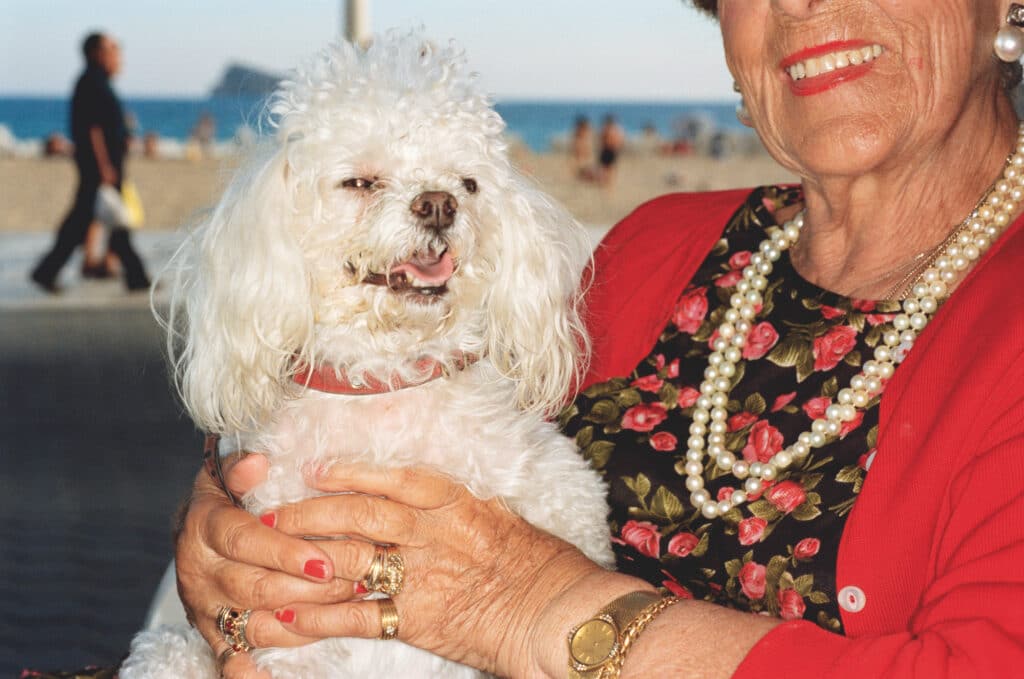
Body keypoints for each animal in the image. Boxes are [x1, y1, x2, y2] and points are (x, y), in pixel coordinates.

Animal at [121, 29, 614, 675]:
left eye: (468, 183)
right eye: (360, 183)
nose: (439, 204)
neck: (384, 383)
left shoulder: (559, 487)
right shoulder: (291, 621)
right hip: (169, 652)